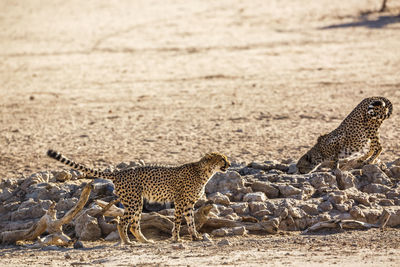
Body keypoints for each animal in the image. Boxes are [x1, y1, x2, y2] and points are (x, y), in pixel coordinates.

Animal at [46, 151, 231, 245]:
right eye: (222, 159)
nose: (229, 164)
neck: (205, 172)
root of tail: (119, 173)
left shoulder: (188, 204)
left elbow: (191, 221)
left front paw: (195, 237)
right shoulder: (180, 202)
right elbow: (178, 221)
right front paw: (176, 238)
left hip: (137, 202)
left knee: (134, 225)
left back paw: (145, 240)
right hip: (134, 202)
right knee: (122, 222)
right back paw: (127, 242)